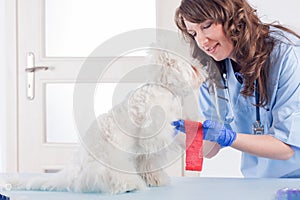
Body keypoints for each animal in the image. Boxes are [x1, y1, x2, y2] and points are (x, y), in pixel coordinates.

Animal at [1, 50, 204, 194]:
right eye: (192, 68)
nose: (202, 69)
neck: (163, 86)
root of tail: (73, 171)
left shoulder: (144, 152)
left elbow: (149, 165)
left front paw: (156, 180)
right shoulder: (153, 133)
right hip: (110, 163)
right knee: (112, 179)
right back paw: (128, 185)